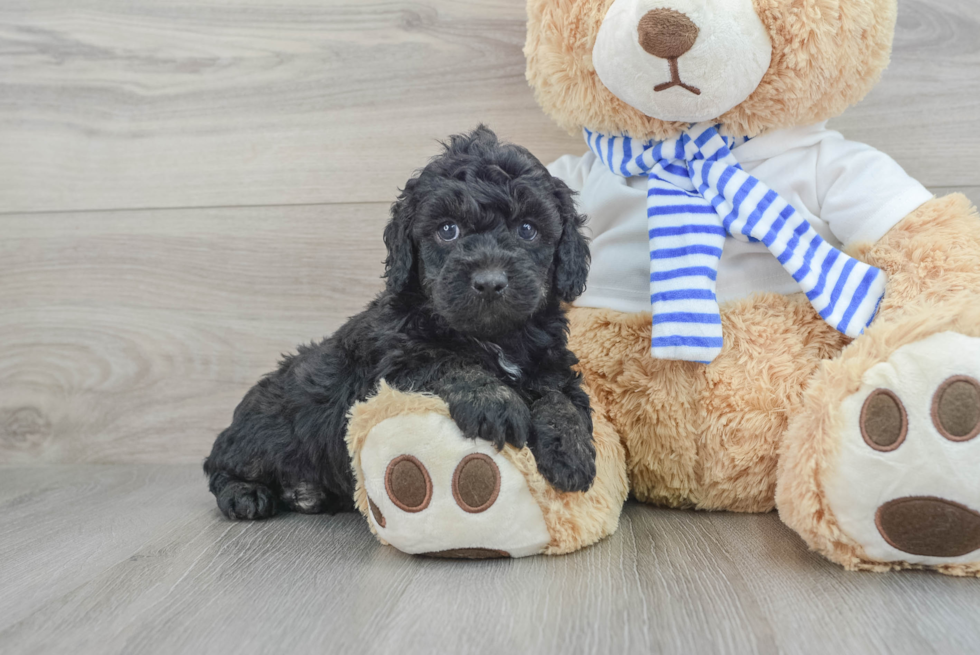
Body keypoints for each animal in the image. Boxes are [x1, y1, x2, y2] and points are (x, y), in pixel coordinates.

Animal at [203, 125, 592, 520]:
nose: (489, 281)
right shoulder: (395, 365)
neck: (495, 337)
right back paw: (246, 494)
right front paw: (495, 402)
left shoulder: (552, 365)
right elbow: (450, 362)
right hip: (267, 428)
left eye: (527, 229)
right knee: (221, 465)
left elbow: (561, 397)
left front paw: (571, 449)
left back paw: (305, 493)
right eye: (448, 230)